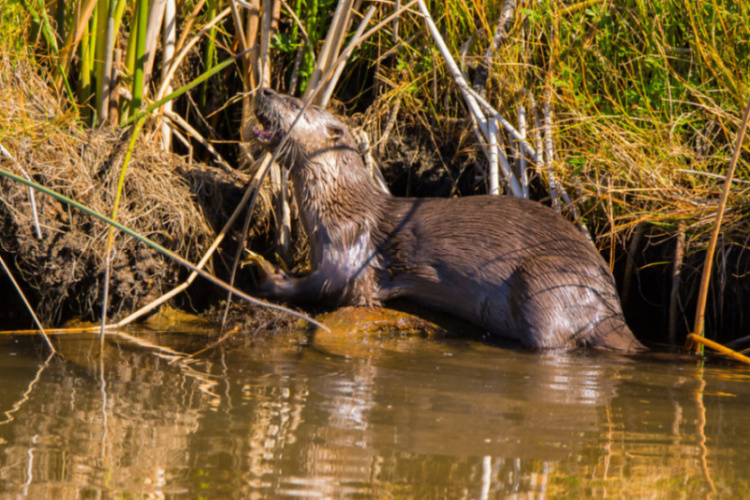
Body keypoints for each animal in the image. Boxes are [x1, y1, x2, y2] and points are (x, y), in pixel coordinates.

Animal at [251, 87, 648, 352]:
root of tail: (609, 304)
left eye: (293, 103)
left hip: (543, 282)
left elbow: (327, 287)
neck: (337, 206)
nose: (265, 89)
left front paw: (267, 273)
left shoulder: (349, 250)